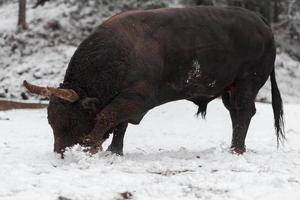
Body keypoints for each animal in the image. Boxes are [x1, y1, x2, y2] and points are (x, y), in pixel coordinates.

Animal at [23, 6, 284, 156]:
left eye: (70, 120)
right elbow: (119, 124)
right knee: (236, 114)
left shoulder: (136, 98)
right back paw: (235, 146)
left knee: (244, 112)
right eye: (51, 120)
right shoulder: (126, 100)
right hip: (229, 90)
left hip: (246, 84)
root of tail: (261, 22)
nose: (59, 153)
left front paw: (91, 146)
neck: (119, 54)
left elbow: (108, 117)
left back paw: (237, 150)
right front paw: (114, 151)